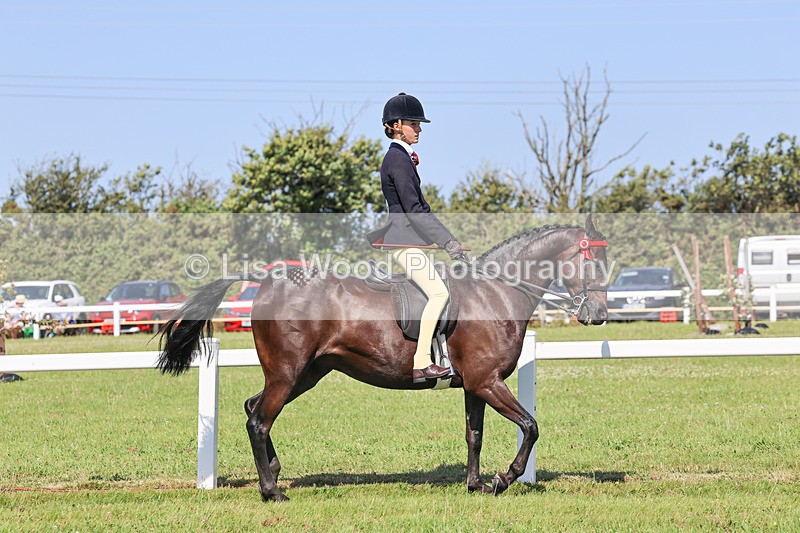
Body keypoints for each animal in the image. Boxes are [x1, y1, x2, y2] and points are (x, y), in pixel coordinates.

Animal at [157, 214, 609, 501]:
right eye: (593, 261)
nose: (599, 315)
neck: (494, 292)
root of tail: (267, 279)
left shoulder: (476, 385)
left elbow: (474, 436)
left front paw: (476, 485)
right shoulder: (487, 381)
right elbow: (531, 427)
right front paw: (503, 480)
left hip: (306, 374)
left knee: (254, 409)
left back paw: (275, 471)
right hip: (287, 372)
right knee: (259, 420)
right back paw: (272, 491)